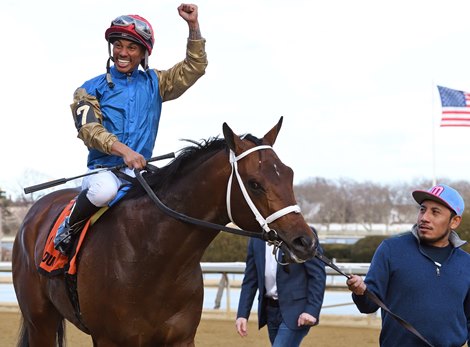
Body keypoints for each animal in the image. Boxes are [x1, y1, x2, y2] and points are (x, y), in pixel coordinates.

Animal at [11, 117, 320, 347]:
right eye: (255, 183)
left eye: (289, 174)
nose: (305, 242)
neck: (152, 256)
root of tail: (34, 212)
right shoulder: (110, 339)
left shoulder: (179, 338)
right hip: (40, 320)